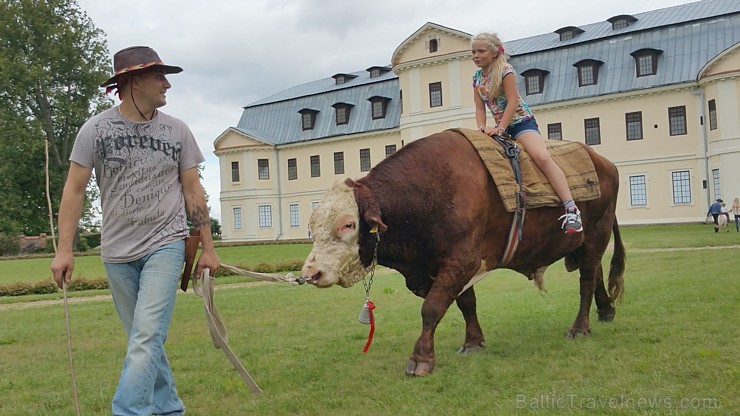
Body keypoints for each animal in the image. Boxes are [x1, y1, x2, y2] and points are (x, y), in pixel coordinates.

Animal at [300, 128, 624, 376]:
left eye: (348, 224)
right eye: (312, 225)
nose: (311, 273)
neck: (429, 191)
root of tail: (604, 162)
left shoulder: (461, 260)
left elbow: (432, 308)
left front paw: (421, 358)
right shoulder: (446, 265)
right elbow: (466, 302)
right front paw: (473, 342)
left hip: (596, 236)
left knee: (586, 281)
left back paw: (580, 327)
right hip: (584, 243)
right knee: (595, 273)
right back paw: (606, 310)